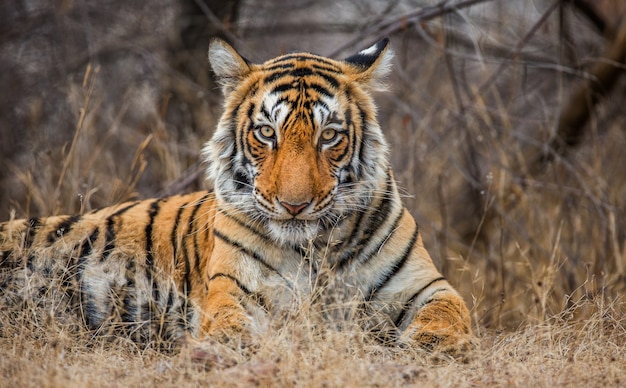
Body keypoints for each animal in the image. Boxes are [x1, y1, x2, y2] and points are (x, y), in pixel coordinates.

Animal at [0, 38, 472, 356]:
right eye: (266, 132)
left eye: (329, 136)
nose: (294, 205)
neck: (316, 248)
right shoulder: (236, 291)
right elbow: (231, 327)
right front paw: (225, 350)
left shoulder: (425, 287)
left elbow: (449, 314)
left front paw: (429, 347)